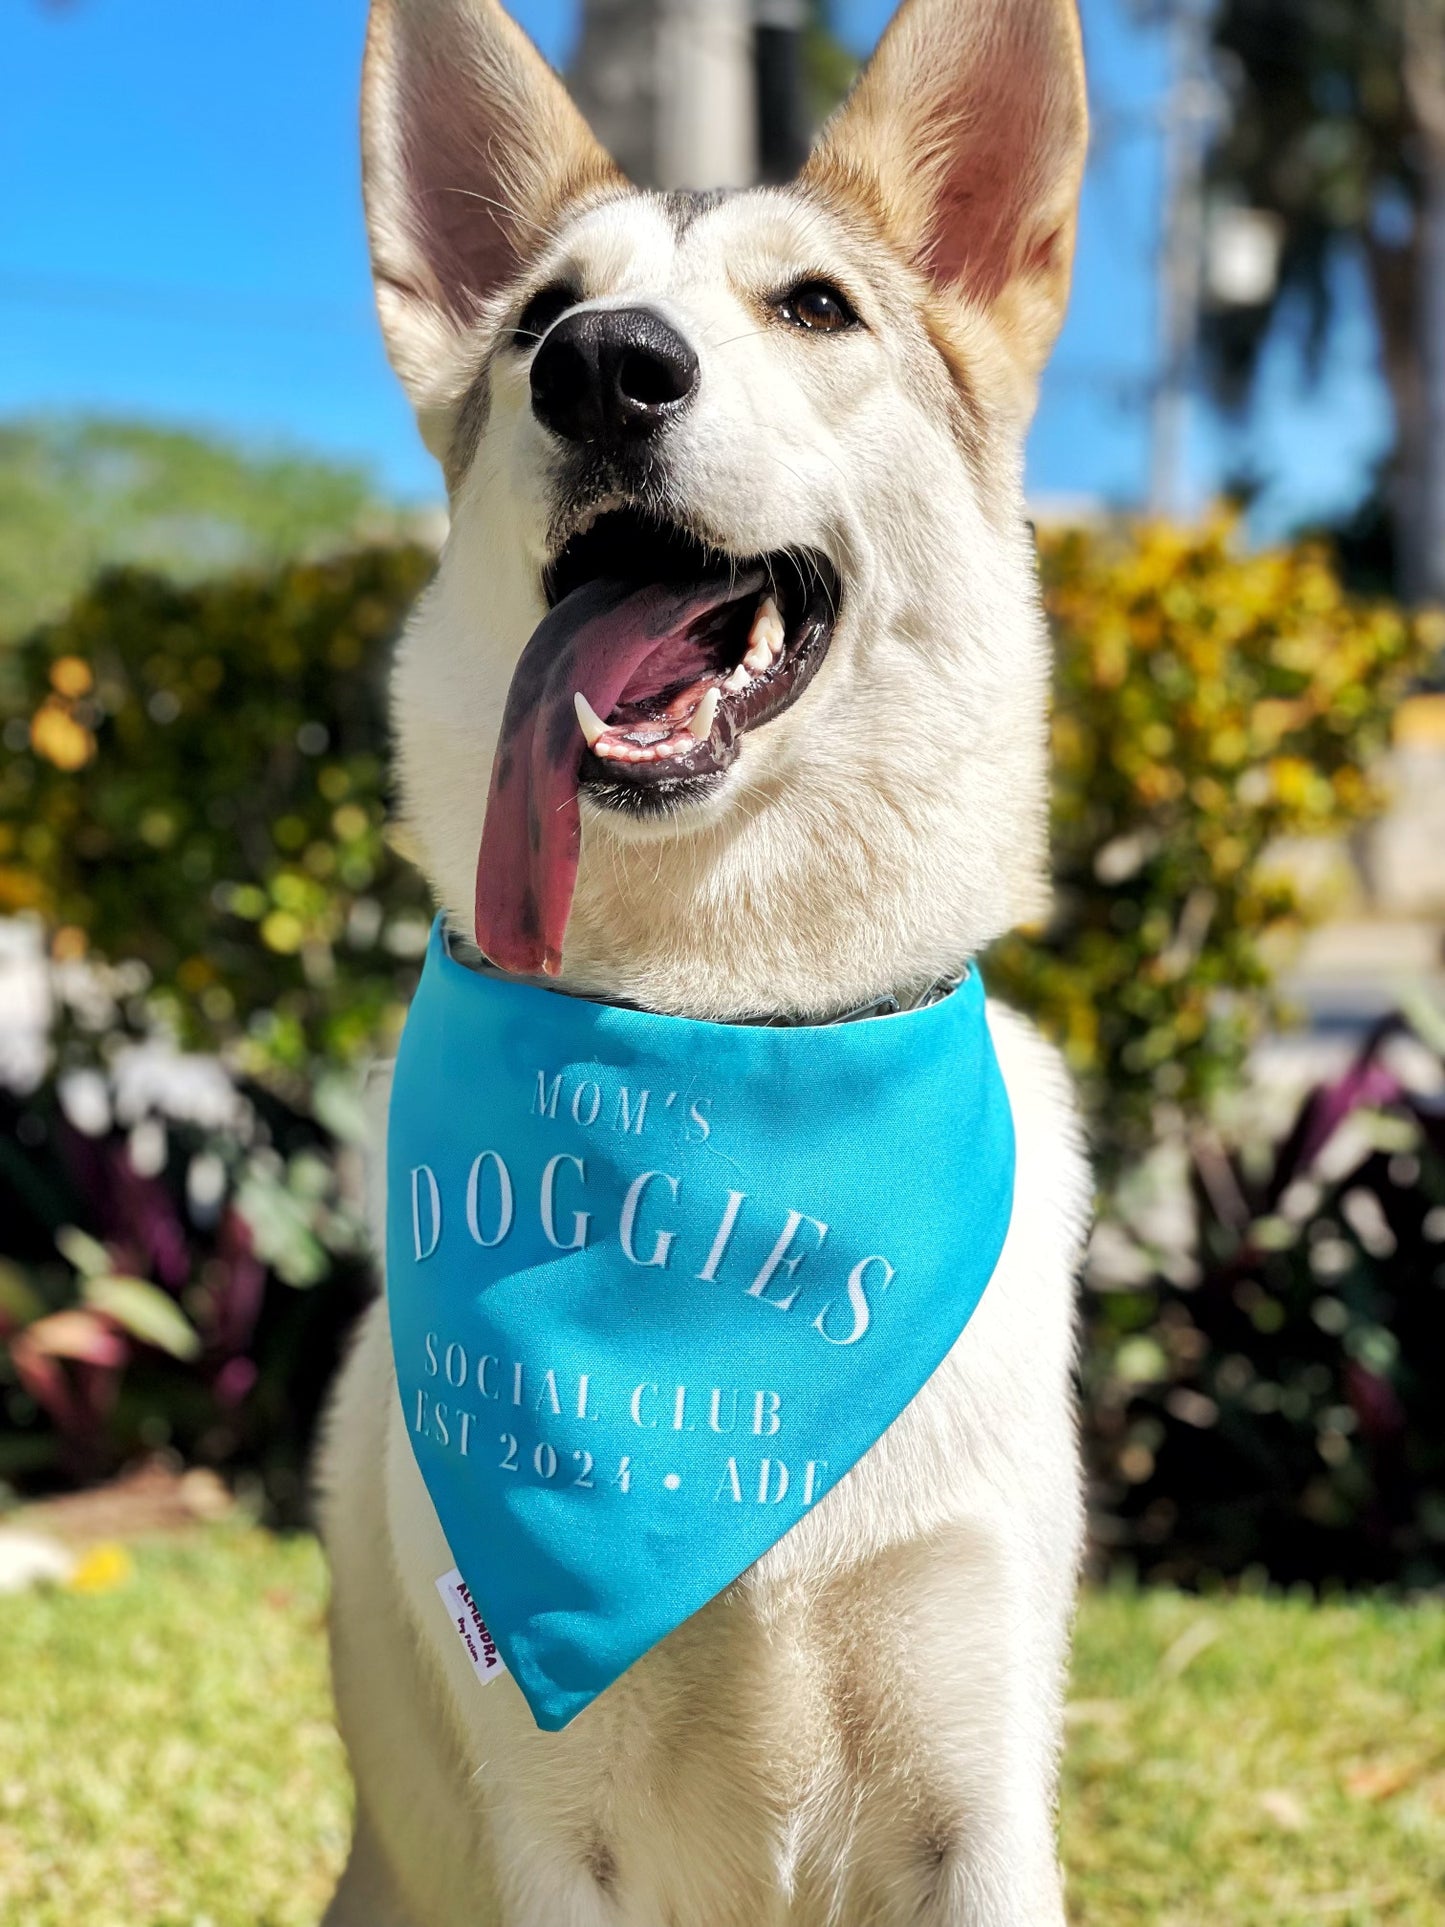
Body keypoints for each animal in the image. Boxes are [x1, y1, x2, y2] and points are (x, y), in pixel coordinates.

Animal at [321, 0, 1094, 1919]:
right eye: (538, 314)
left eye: (814, 305)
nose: (602, 367)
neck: (718, 1026)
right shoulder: (556, 1824)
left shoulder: (978, 1788)